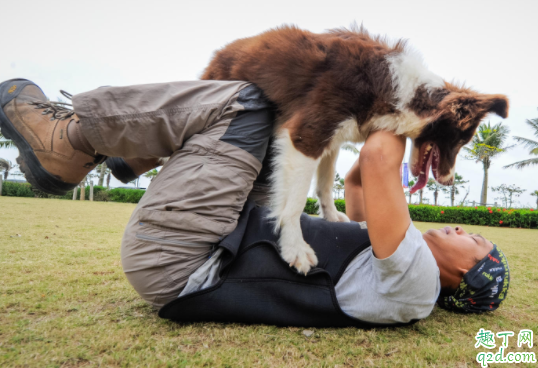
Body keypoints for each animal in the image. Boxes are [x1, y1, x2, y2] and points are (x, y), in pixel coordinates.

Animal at [200, 25, 506, 274]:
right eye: (460, 141)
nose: (450, 181)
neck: (403, 92)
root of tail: (217, 55)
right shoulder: (306, 133)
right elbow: (294, 202)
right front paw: (295, 247)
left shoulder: (332, 139)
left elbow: (324, 185)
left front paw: (331, 218)